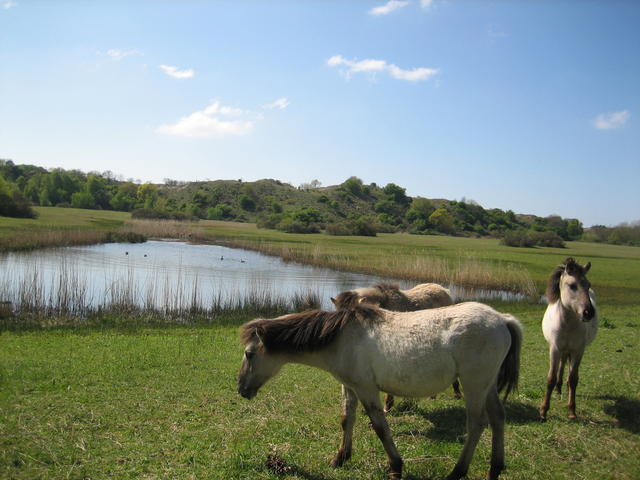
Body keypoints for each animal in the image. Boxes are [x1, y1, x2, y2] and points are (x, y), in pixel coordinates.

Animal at [238, 297, 523, 480]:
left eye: (249, 354)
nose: (241, 389)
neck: (340, 337)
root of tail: (502, 319)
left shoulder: (366, 389)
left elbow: (380, 427)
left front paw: (396, 466)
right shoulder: (350, 387)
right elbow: (347, 419)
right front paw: (340, 458)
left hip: (474, 385)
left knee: (477, 424)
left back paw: (457, 472)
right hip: (487, 386)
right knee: (498, 418)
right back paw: (495, 469)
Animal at [539, 257, 598, 421]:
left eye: (588, 285)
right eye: (572, 285)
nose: (588, 313)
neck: (566, 323)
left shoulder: (578, 350)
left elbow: (573, 379)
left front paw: (572, 410)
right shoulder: (554, 349)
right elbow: (551, 378)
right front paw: (543, 411)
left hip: (571, 350)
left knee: (568, 366)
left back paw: (564, 388)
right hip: (562, 350)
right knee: (563, 363)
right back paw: (558, 388)